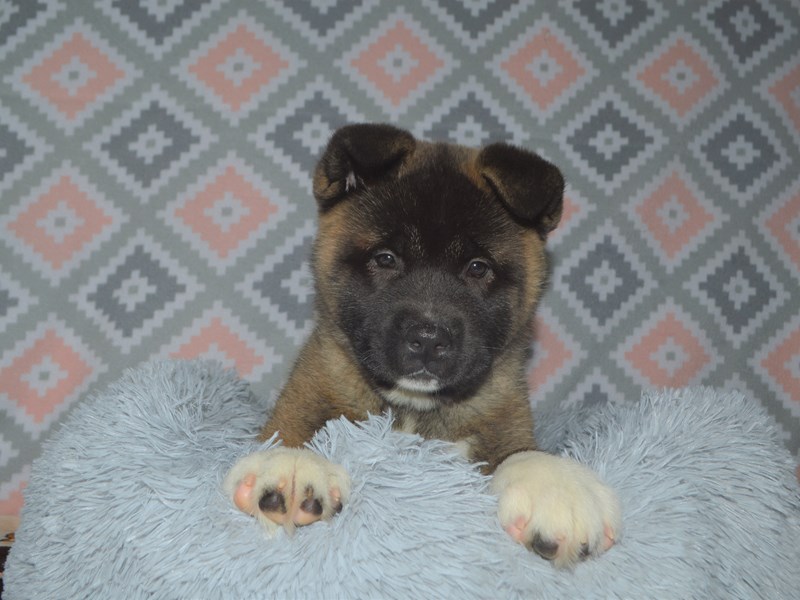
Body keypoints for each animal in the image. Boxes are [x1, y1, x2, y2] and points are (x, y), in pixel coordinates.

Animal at [222, 124, 620, 568]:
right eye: (385, 258)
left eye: (478, 268)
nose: (429, 339)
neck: (413, 410)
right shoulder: (312, 386)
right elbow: (293, 427)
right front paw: (290, 464)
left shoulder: (504, 419)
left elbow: (519, 452)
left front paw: (556, 486)